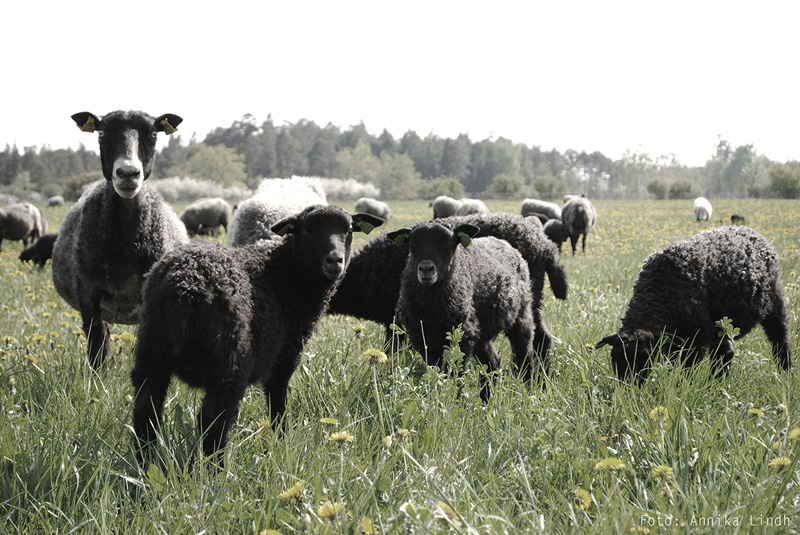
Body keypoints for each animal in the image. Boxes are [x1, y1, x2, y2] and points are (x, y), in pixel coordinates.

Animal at [51, 111, 188, 370]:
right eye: (102, 133)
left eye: (153, 134)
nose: (128, 173)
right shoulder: (88, 295)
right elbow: (96, 344)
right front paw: (96, 379)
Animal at [131, 203, 384, 462]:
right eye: (305, 232)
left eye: (349, 230)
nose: (335, 260)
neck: (286, 274)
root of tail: (185, 285)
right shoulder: (284, 358)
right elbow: (278, 405)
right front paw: (281, 443)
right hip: (229, 363)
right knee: (213, 420)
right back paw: (216, 468)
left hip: (152, 353)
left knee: (146, 410)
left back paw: (144, 462)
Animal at [386, 222, 536, 402]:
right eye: (412, 244)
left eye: (448, 243)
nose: (426, 268)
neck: (432, 309)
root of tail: (506, 244)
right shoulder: (424, 340)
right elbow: (435, 372)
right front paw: (436, 397)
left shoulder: (462, 338)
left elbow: (455, 373)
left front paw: (453, 401)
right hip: (479, 331)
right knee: (492, 362)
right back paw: (486, 400)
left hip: (520, 317)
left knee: (524, 358)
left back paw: (527, 394)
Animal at [592, 225, 792, 382]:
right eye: (615, 359)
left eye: (645, 357)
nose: (629, 388)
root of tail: (752, 231)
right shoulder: (676, 339)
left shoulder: (697, 338)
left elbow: (687, 368)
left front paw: (682, 387)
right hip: (720, 323)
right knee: (726, 353)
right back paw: (716, 384)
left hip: (775, 302)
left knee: (780, 339)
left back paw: (785, 372)